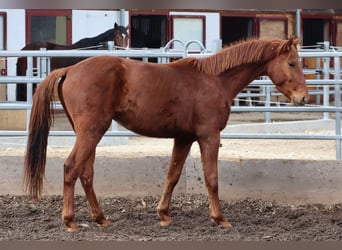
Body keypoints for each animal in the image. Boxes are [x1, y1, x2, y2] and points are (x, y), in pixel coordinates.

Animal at [22, 37, 308, 232]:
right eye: (292, 63)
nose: (303, 98)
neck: (214, 80)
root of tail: (70, 70)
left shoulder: (184, 138)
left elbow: (172, 175)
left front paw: (163, 214)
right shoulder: (209, 136)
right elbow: (212, 178)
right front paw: (219, 218)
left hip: (88, 133)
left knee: (86, 173)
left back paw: (101, 218)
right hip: (91, 132)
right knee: (71, 168)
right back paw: (70, 221)